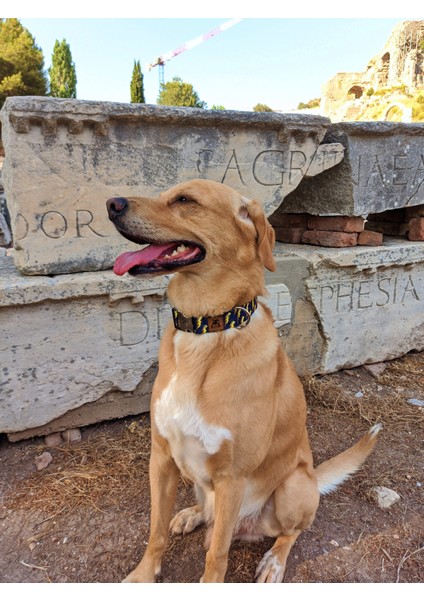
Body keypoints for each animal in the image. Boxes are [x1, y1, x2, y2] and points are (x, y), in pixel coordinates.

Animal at [107, 178, 380, 580]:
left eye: (185, 200)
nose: (111, 204)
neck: (207, 329)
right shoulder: (162, 458)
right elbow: (155, 532)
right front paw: (143, 575)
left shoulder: (232, 478)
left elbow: (217, 554)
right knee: (209, 514)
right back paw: (191, 515)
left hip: (291, 488)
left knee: (289, 532)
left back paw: (273, 562)